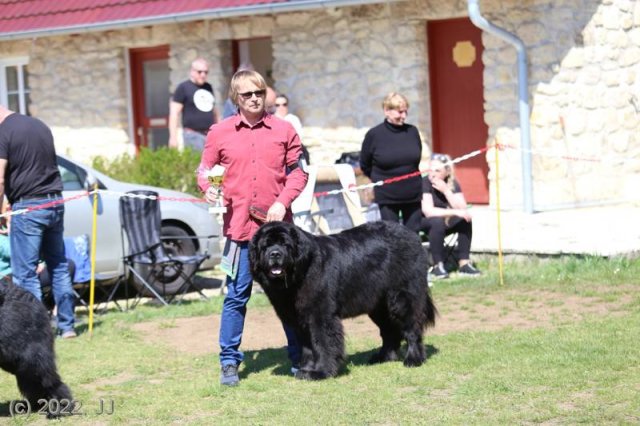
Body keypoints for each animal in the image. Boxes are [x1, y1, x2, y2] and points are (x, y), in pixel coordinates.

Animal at [248, 220, 438, 380]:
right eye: (265, 246)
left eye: (285, 244)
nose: (275, 254)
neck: (299, 275)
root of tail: (411, 234)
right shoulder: (299, 319)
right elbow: (307, 346)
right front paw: (306, 369)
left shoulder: (321, 315)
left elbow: (323, 343)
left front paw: (321, 372)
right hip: (378, 305)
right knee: (389, 331)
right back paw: (383, 357)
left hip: (402, 297)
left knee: (412, 327)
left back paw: (413, 359)